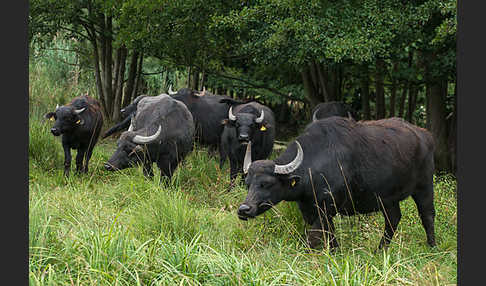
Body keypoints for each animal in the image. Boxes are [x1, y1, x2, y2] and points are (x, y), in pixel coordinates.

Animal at [237, 116, 434, 250]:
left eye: (267, 183)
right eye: (248, 183)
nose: (244, 210)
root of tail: (425, 135)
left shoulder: (328, 206)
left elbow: (314, 237)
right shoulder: (310, 209)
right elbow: (329, 235)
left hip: (424, 186)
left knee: (427, 215)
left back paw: (432, 246)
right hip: (388, 199)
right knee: (393, 219)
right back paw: (380, 250)